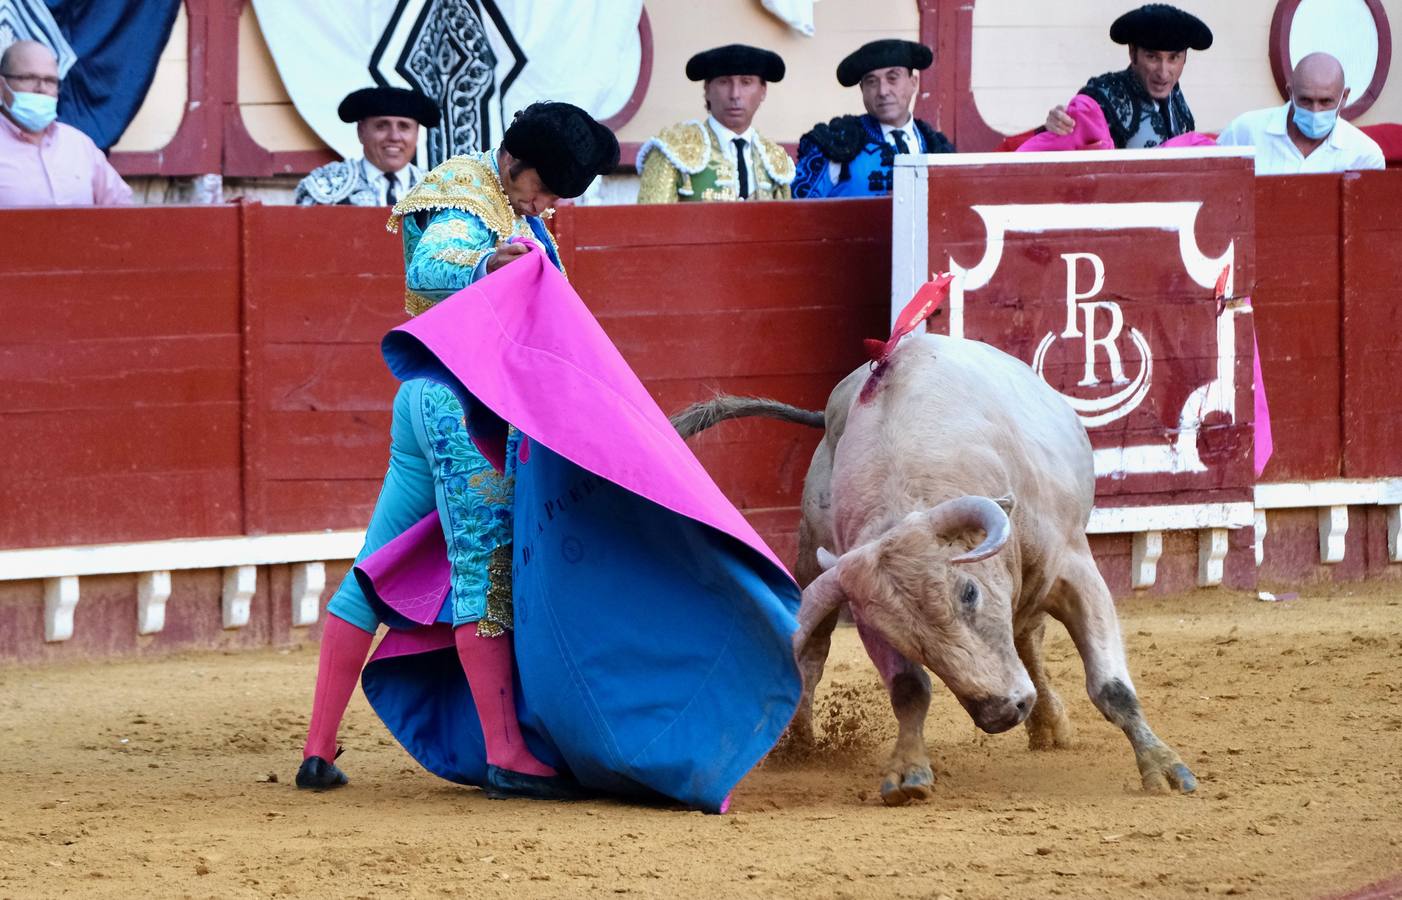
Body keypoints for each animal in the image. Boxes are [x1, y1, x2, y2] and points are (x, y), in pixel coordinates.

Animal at [672, 330, 1200, 807]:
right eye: (902, 636)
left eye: (968, 593)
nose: (1002, 712)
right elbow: (909, 689)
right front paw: (908, 771)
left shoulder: (1075, 570)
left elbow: (1111, 687)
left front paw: (1164, 768)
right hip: (807, 557)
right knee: (814, 653)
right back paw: (800, 744)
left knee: (1028, 636)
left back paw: (1050, 725)